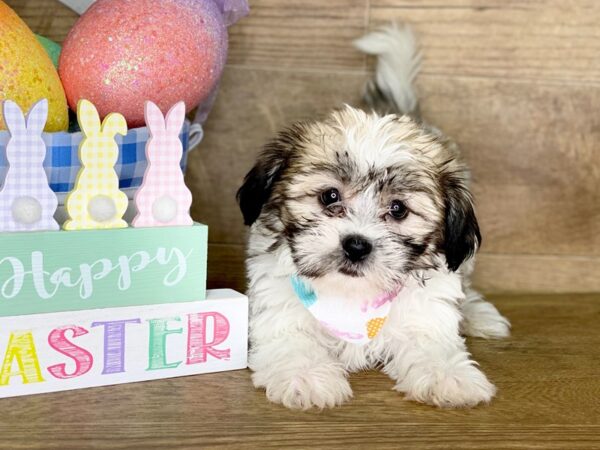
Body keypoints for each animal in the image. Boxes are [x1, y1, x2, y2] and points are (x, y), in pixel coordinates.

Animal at [237, 25, 508, 412]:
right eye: (329, 196)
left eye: (398, 209)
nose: (356, 245)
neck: (353, 296)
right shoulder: (280, 309)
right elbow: (293, 341)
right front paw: (307, 377)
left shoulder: (425, 312)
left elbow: (432, 343)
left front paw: (448, 376)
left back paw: (477, 315)